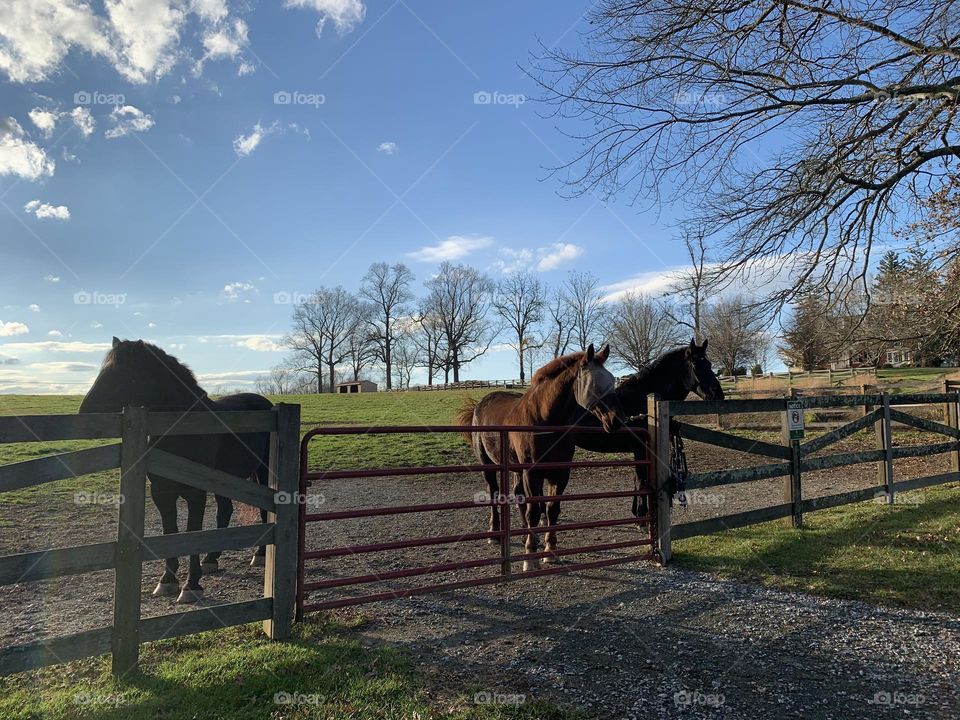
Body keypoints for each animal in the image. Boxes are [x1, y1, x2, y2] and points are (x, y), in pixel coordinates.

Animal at [78, 337, 273, 603]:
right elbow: (170, 531)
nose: (84, 414)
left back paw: (260, 555)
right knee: (224, 511)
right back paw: (211, 559)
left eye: (124, 373)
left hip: (263, 472)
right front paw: (167, 581)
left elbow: (191, 532)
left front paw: (191, 586)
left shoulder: (195, 493)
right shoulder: (161, 492)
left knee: (263, 510)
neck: (182, 430)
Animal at [457, 344, 626, 571]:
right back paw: (494, 533)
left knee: (518, 495)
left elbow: (551, 510)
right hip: (489, 465)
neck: (544, 419)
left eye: (612, 380)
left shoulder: (560, 474)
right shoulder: (533, 473)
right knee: (493, 492)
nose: (616, 420)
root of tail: (479, 404)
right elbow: (535, 512)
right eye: (594, 385)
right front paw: (530, 558)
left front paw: (550, 551)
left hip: (516, 469)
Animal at [571, 338, 724, 517]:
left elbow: (639, 481)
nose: (718, 394)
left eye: (709, 363)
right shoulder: (639, 449)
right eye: (695, 364)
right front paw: (641, 512)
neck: (643, 401)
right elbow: (640, 481)